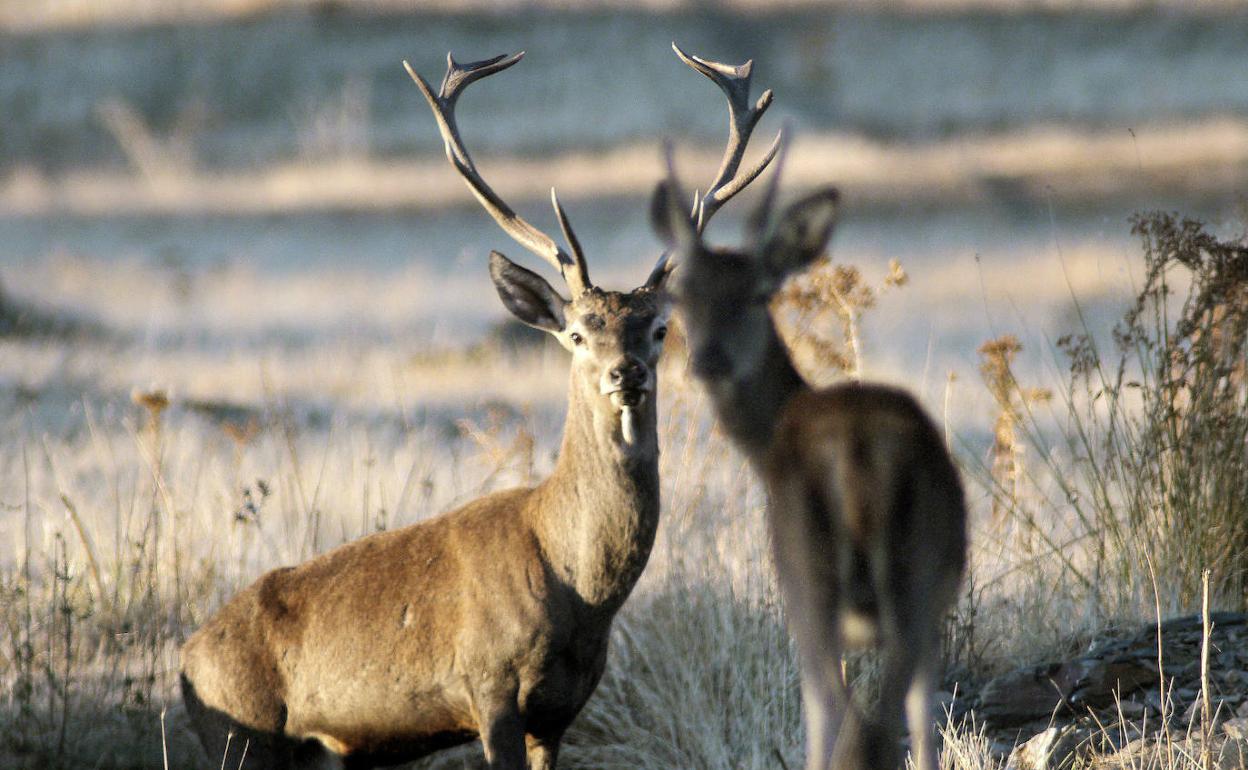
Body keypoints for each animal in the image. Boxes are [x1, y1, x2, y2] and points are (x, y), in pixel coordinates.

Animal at [180, 49, 773, 768]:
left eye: (659, 329)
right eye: (577, 333)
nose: (624, 372)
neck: (578, 590)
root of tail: (185, 658)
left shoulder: (561, 711)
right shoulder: (488, 684)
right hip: (240, 734)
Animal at [648, 46, 968, 768]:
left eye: (756, 294)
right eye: (682, 295)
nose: (707, 359)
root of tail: (858, 452)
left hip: (806, 575)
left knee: (842, 719)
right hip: (914, 579)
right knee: (882, 721)